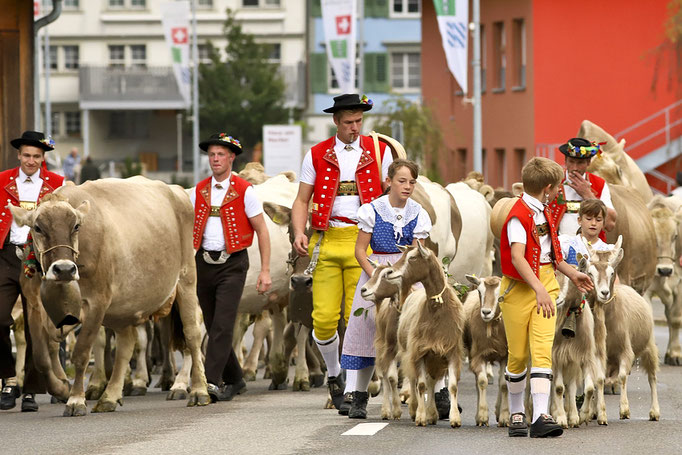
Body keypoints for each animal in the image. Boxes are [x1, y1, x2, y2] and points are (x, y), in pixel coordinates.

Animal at [460, 274, 508, 428]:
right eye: (479, 291)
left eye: (500, 292)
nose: (486, 312)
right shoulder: (477, 356)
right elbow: (481, 382)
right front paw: (482, 417)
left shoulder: (506, 356)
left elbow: (504, 384)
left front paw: (505, 418)